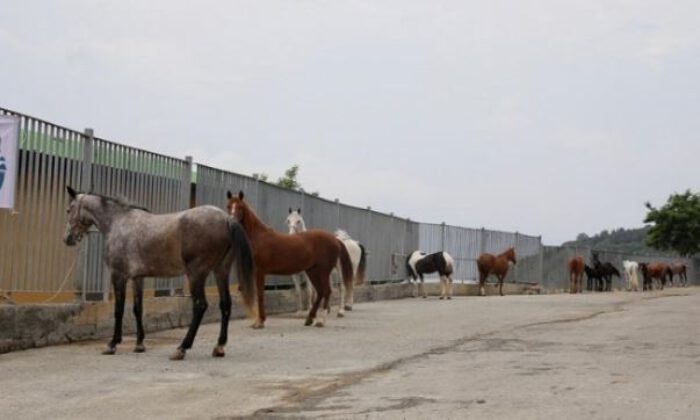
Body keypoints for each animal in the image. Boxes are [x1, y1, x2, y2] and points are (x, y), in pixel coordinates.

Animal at [63, 187, 258, 360]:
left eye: (69, 209)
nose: (67, 239)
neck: (118, 222)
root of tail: (226, 219)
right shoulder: (137, 278)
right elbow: (137, 309)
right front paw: (139, 344)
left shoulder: (118, 276)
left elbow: (118, 310)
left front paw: (112, 344)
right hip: (220, 271)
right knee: (225, 304)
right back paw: (219, 347)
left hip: (196, 275)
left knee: (200, 306)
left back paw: (182, 348)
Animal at [227, 190, 352, 328]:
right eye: (228, 206)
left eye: (240, 207)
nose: (231, 222)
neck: (259, 237)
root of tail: (335, 239)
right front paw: (258, 321)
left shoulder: (260, 271)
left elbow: (260, 294)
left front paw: (260, 322)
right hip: (312, 271)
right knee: (320, 292)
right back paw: (309, 319)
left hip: (323, 271)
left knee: (327, 291)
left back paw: (321, 320)